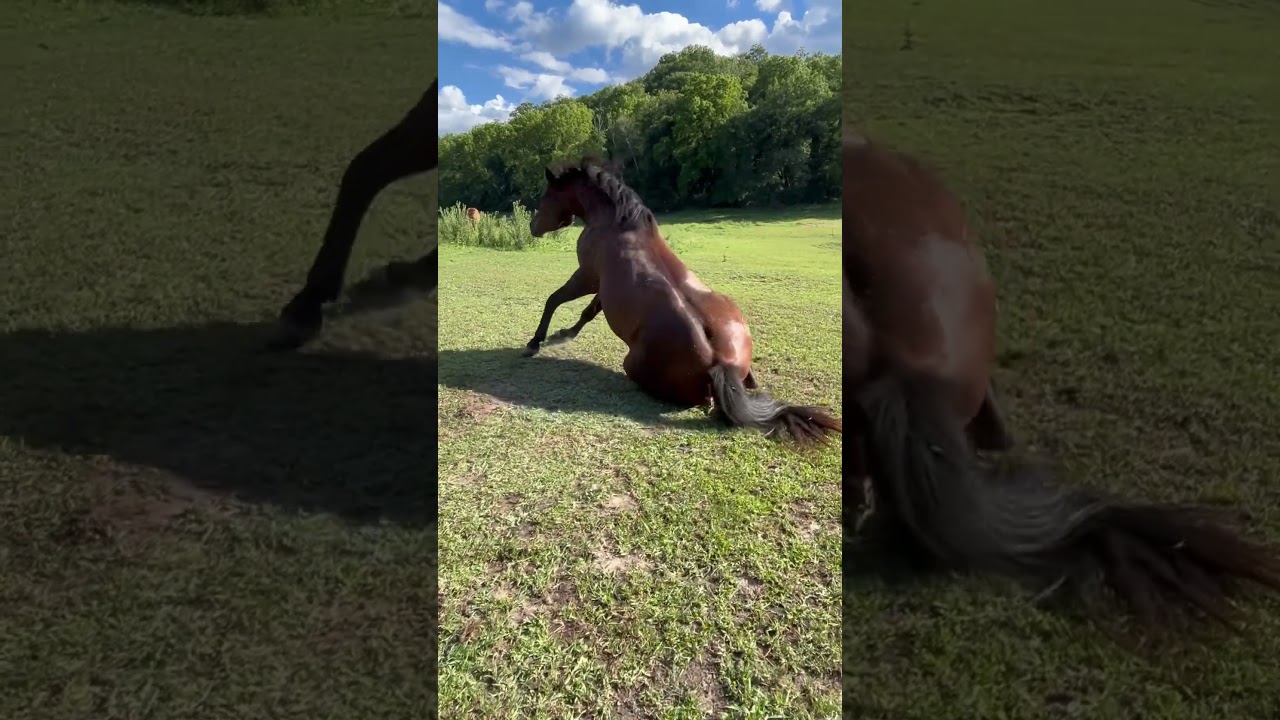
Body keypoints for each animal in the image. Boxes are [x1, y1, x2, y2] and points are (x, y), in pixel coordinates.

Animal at [522, 159, 842, 444]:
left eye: (546, 196)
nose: (532, 227)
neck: (616, 224)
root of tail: (719, 364)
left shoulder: (587, 277)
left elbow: (555, 300)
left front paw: (536, 342)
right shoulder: (601, 286)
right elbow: (588, 312)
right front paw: (562, 335)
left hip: (632, 365)